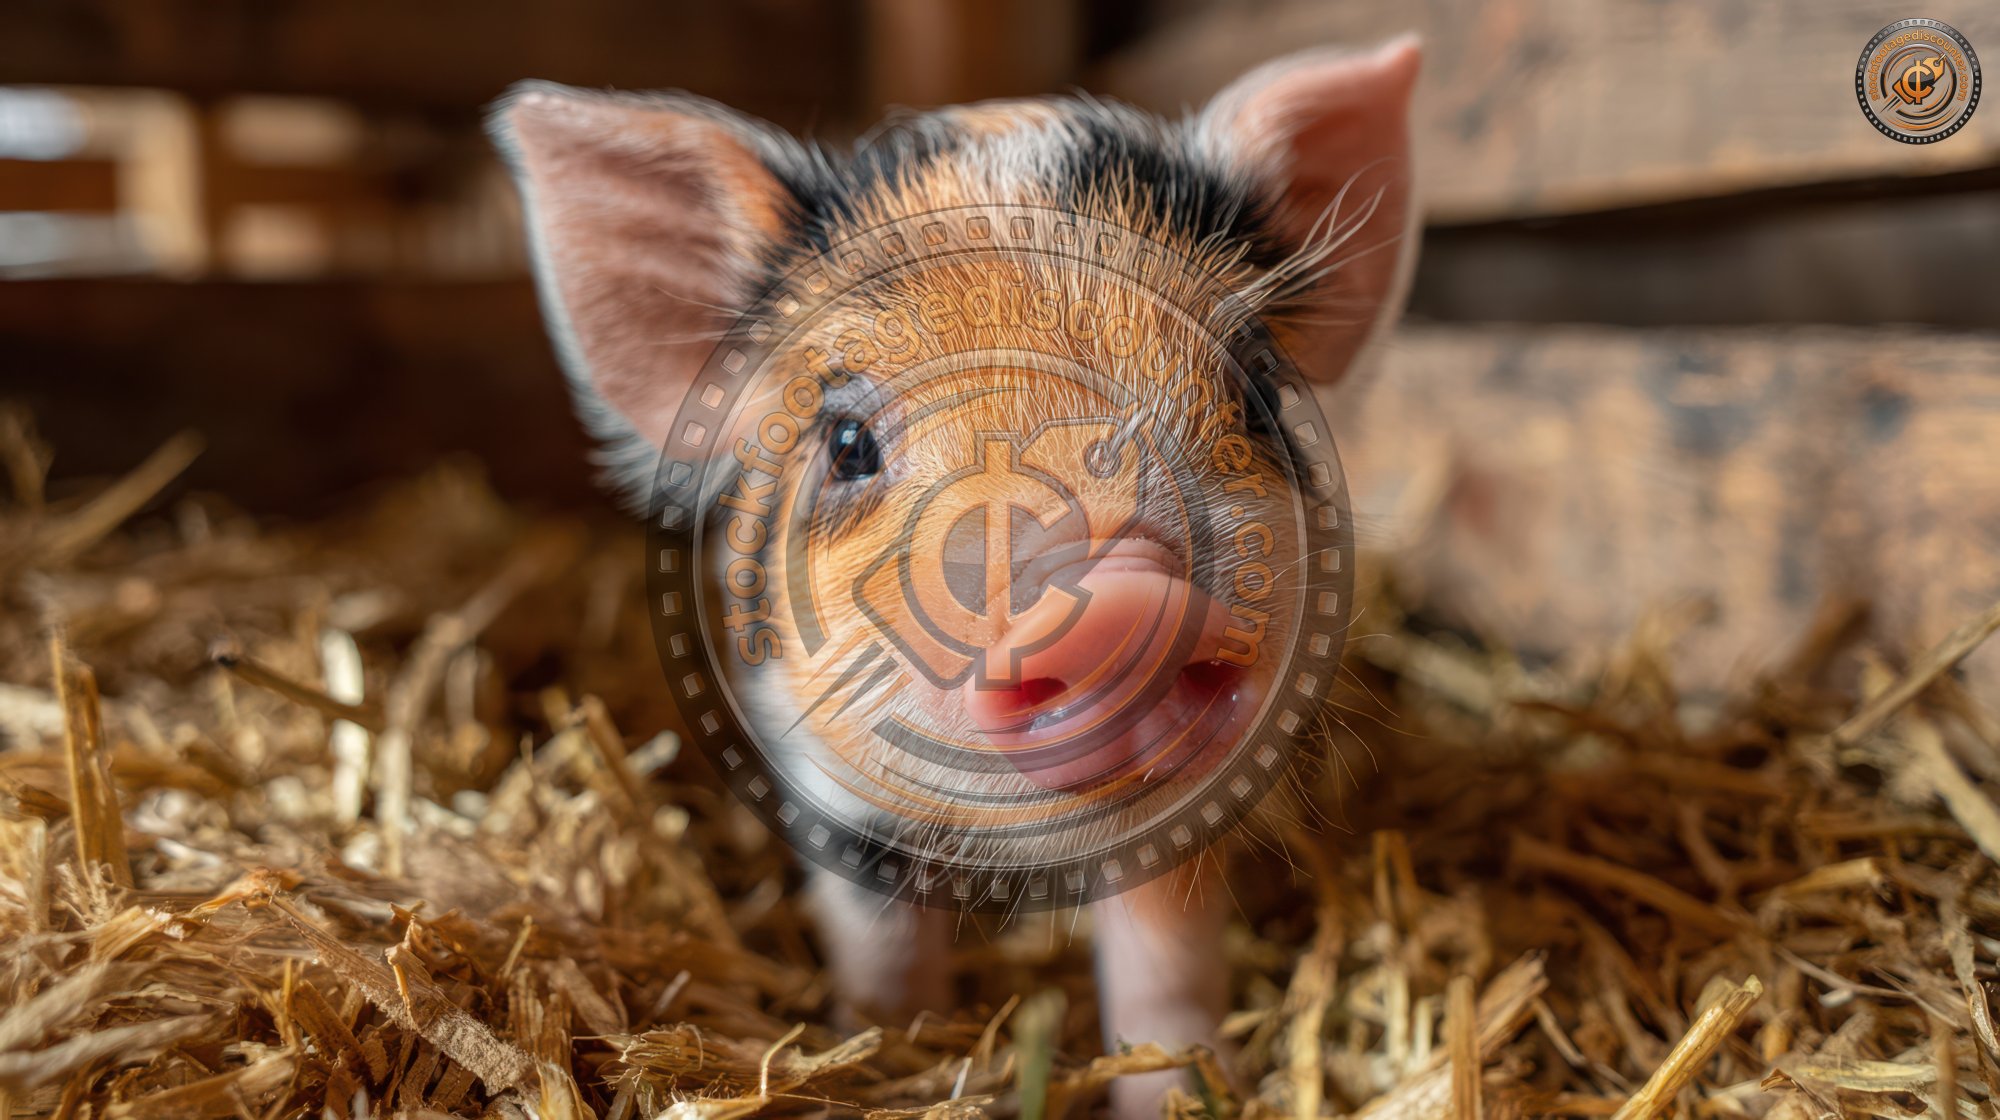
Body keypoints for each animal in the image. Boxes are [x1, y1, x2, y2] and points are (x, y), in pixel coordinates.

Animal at [491, 36, 1419, 1117]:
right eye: (848, 441)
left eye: (1257, 393)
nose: (1118, 590)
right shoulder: (831, 782)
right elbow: (882, 947)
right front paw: (886, 1050)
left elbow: (1166, 958)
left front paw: (1181, 1088)